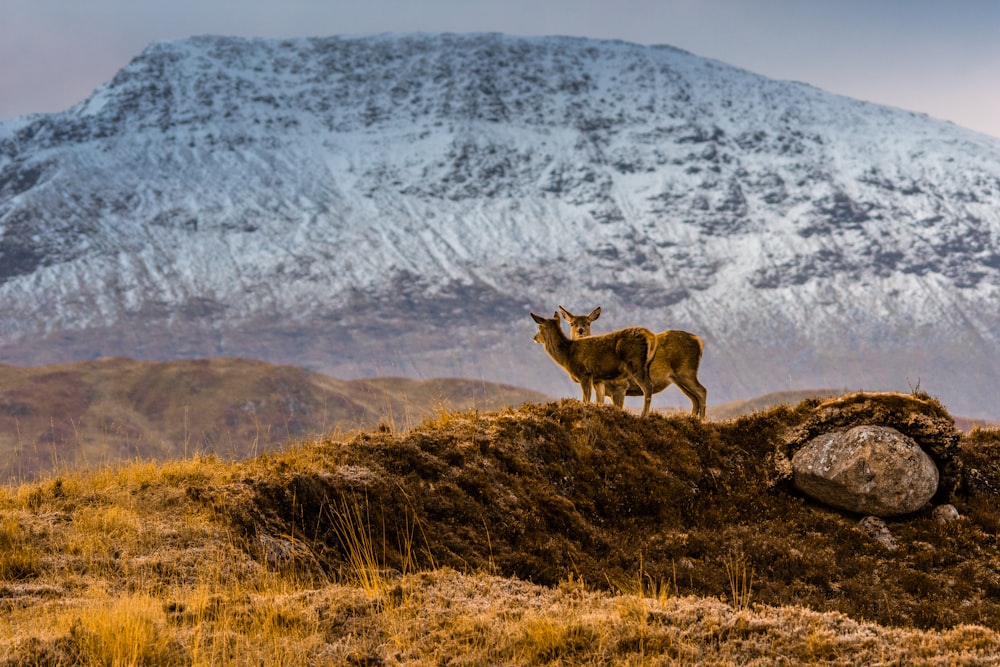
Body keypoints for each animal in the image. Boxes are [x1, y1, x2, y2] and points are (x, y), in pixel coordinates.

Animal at [528, 314, 660, 418]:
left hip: (636, 363)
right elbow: (599, 400)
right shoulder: (598, 379)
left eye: (539, 327)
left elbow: (585, 399)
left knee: (648, 387)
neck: (567, 356)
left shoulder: (584, 373)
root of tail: (651, 336)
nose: (534, 338)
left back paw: (644, 416)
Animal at [560, 306, 708, 420]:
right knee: (694, 398)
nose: (580, 330)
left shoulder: (620, 386)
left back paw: (701, 420)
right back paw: (692, 418)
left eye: (588, 323)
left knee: (702, 391)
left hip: (686, 371)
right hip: (678, 379)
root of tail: (699, 342)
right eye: (572, 323)